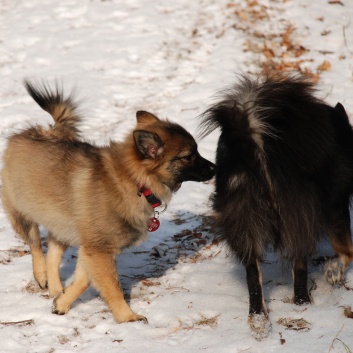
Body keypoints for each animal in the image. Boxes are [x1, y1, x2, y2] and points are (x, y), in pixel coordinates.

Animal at [1, 81, 214, 324]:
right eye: (188, 156)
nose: (216, 167)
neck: (134, 180)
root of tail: (44, 131)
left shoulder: (92, 246)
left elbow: (84, 280)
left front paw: (62, 303)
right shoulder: (99, 250)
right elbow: (112, 287)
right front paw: (127, 317)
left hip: (62, 223)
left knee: (53, 254)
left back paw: (55, 289)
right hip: (22, 212)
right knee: (35, 244)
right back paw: (41, 275)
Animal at [199, 74, 352, 338]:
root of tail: (254, 133)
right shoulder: (336, 205)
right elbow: (347, 251)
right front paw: (333, 272)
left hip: (241, 212)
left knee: (253, 274)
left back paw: (259, 321)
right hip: (301, 208)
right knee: (300, 262)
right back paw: (302, 303)